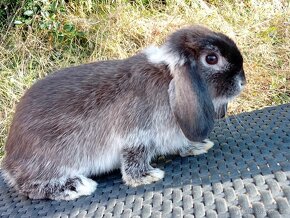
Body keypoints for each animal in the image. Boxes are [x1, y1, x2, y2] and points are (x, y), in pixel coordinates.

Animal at [0, 24, 245, 200]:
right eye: (211, 58)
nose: (243, 81)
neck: (167, 77)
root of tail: (10, 161)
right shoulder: (136, 135)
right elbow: (134, 156)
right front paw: (146, 177)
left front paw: (198, 146)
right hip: (48, 161)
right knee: (29, 186)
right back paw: (74, 186)